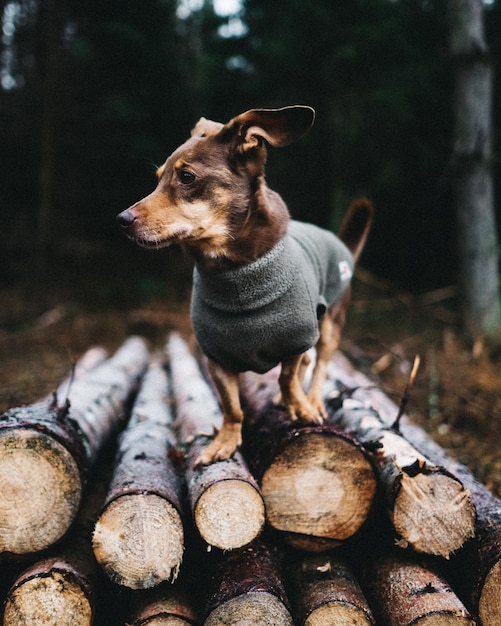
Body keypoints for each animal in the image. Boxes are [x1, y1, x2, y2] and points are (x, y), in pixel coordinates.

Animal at [117, 103, 372, 464]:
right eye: (157, 180)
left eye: (186, 177)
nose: (121, 220)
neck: (235, 275)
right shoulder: (216, 358)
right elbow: (232, 407)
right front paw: (225, 440)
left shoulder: (297, 337)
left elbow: (287, 377)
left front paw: (300, 407)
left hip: (331, 323)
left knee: (320, 363)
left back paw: (311, 401)